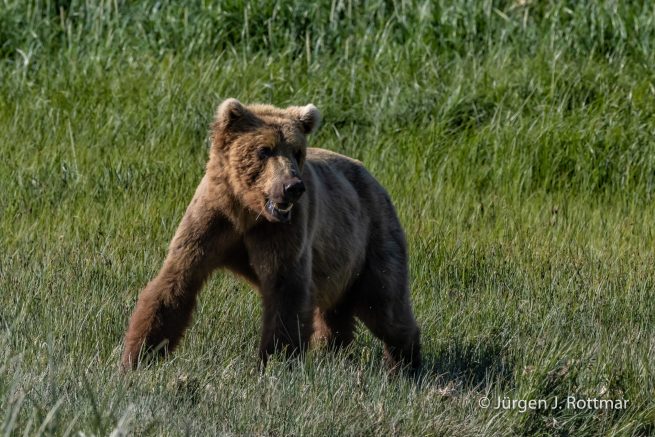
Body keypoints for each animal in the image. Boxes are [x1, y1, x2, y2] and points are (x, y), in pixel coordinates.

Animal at [121, 99, 421, 371]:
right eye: (264, 150)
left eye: (297, 151)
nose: (293, 186)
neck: (247, 210)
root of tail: (373, 179)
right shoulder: (212, 221)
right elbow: (177, 280)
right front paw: (138, 355)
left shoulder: (284, 231)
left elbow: (285, 291)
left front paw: (276, 361)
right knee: (337, 312)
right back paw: (332, 352)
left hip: (371, 238)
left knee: (384, 303)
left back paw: (405, 363)